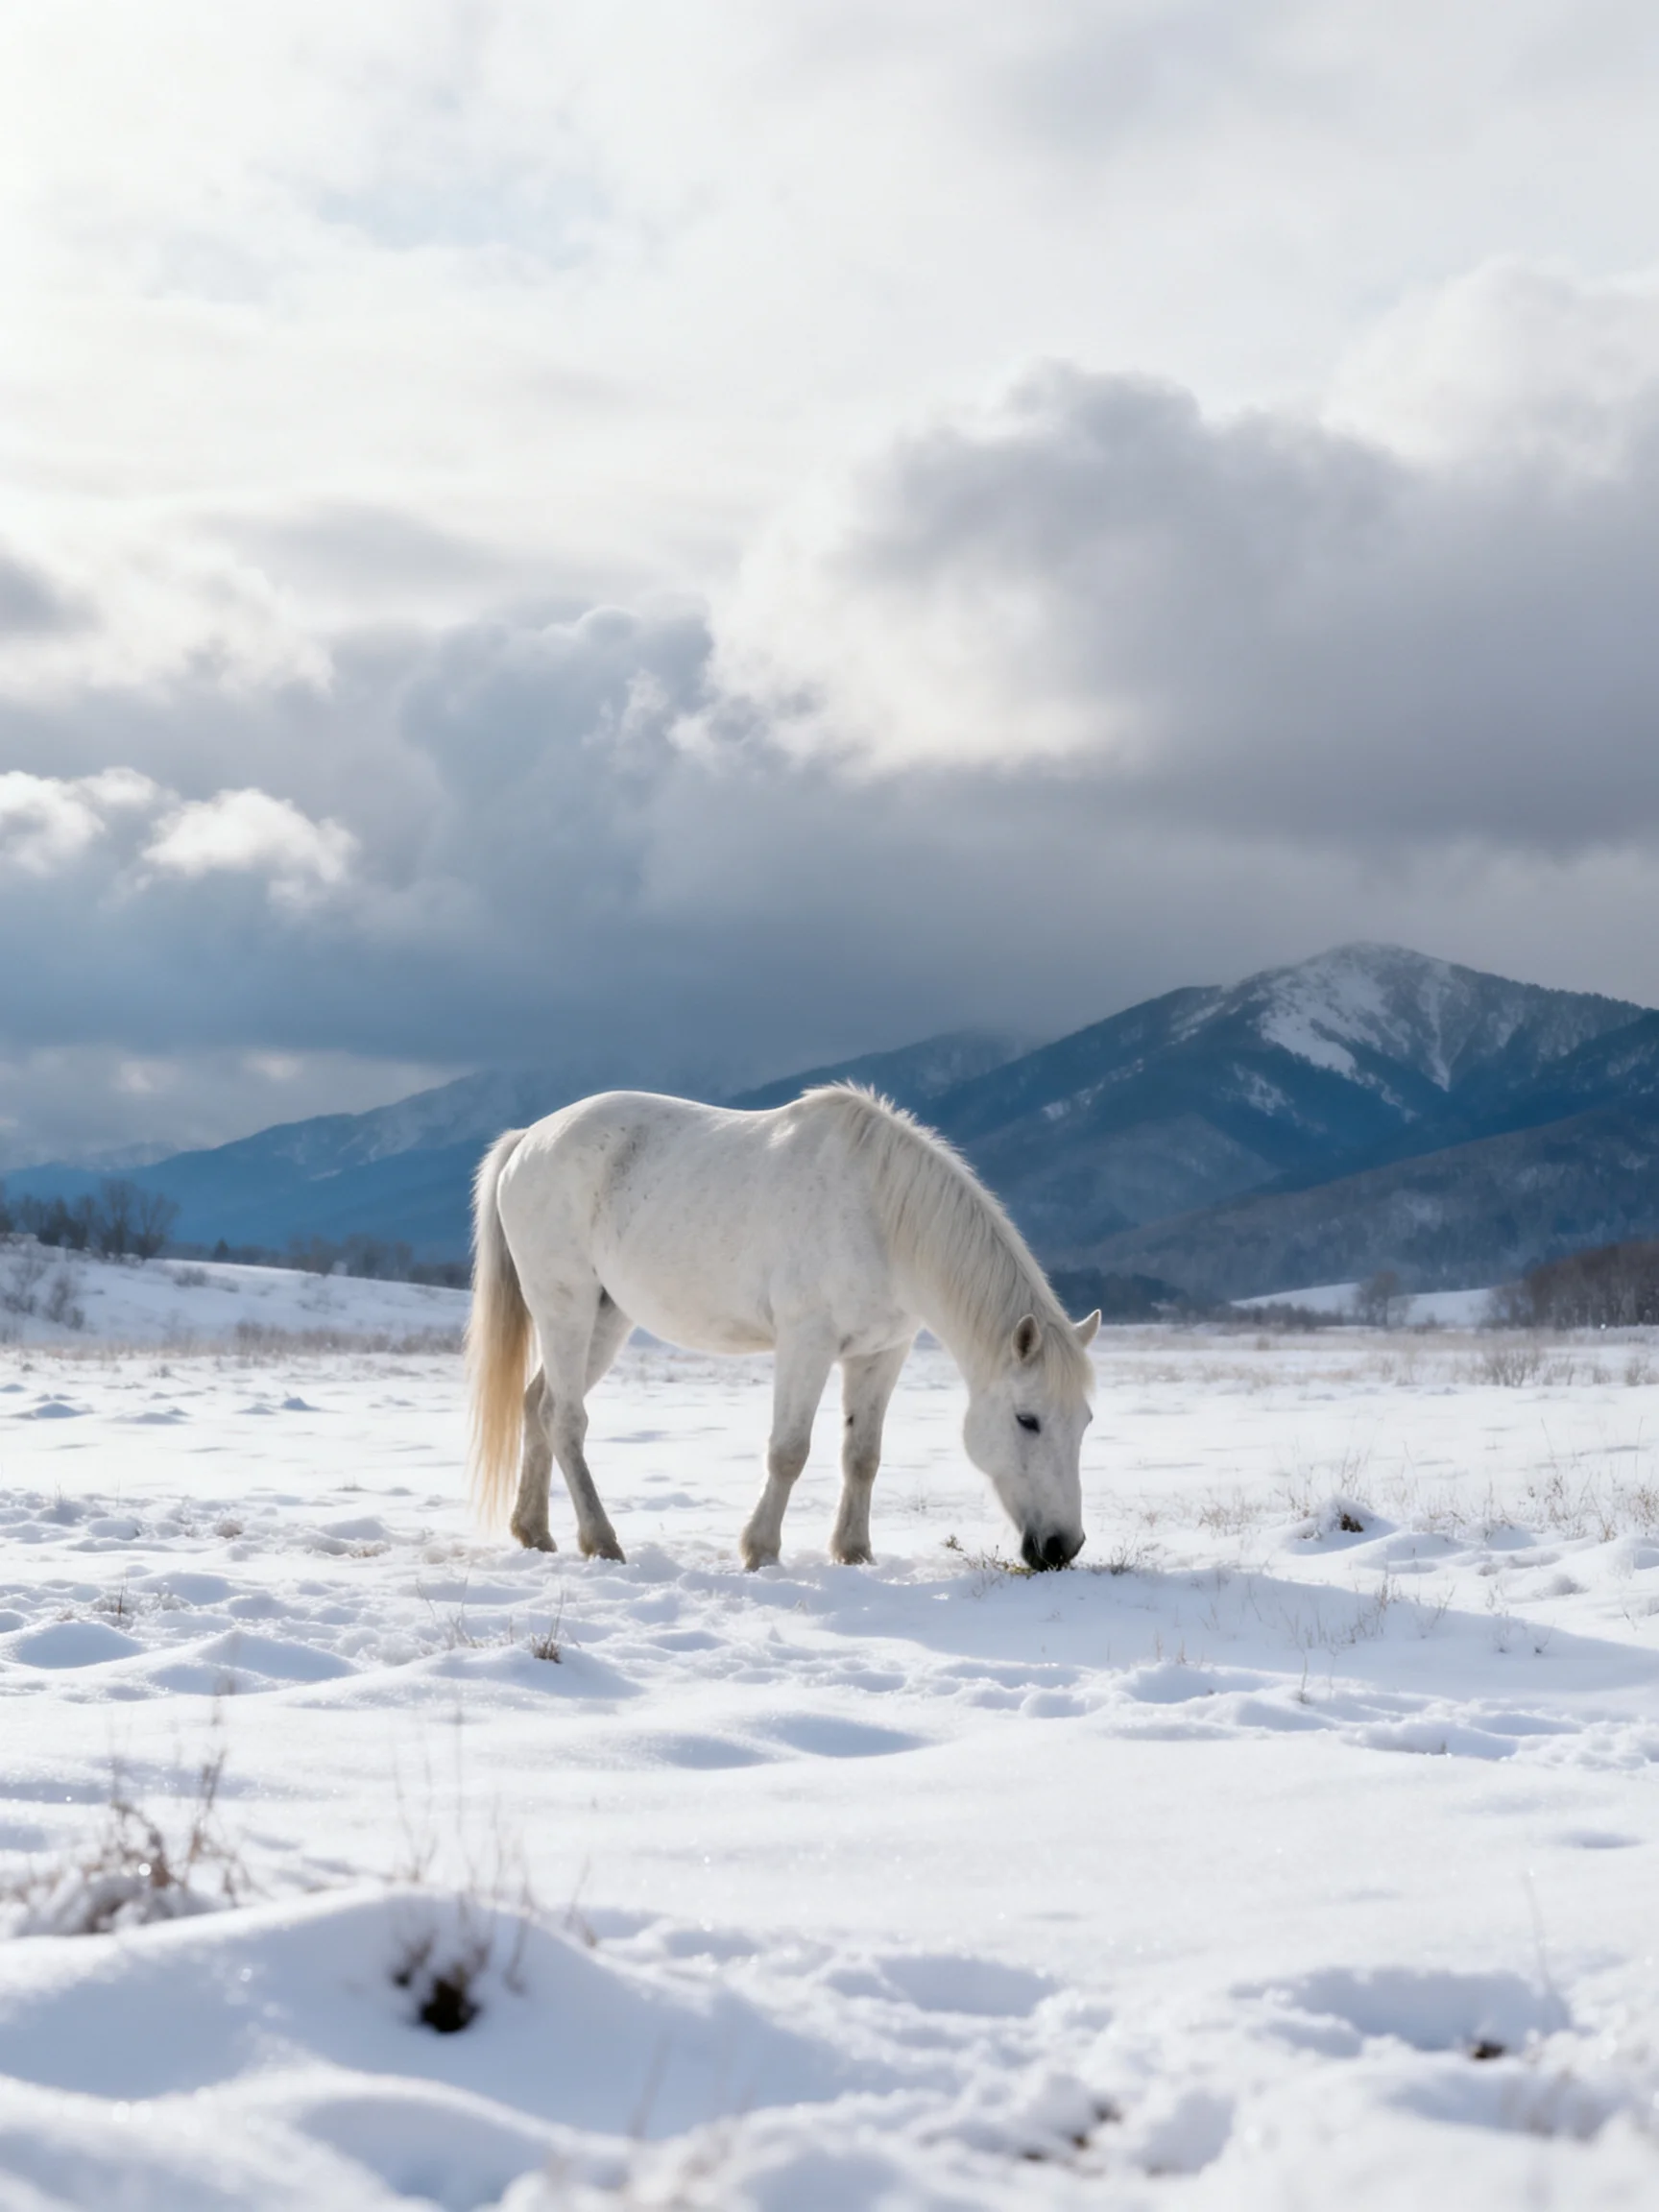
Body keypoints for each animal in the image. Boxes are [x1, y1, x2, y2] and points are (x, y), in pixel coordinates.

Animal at [466, 1085, 1101, 1571]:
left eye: (1086, 1422)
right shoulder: (806, 1342)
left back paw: (534, 1532)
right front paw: (761, 1551)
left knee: (537, 1405)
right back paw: (601, 1542)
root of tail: (528, 1139)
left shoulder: (883, 1352)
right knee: (565, 1420)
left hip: (607, 1316)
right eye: (1027, 1420)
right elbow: (789, 1451)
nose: (1062, 1547)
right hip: (565, 1307)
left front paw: (854, 1553)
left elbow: (862, 1456)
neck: (880, 1219)